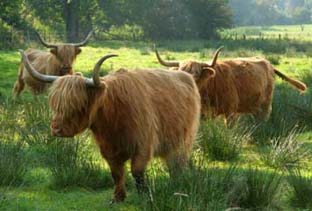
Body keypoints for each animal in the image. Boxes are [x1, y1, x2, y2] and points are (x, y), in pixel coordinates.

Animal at [20, 50, 200, 203]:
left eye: (78, 104)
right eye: (55, 104)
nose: (56, 129)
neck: (113, 116)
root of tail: (185, 76)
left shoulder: (144, 144)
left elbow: (137, 171)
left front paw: (144, 196)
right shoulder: (107, 149)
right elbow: (116, 173)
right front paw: (118, 198)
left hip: (184, 140)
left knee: (178, 163)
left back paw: (177, 185)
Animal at [155, 47, 306, 124]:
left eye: (196, 74)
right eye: (180, 72)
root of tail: (268, 63)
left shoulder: (231, 110)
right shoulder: (203, 113)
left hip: (266, 101)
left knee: (264, 115)